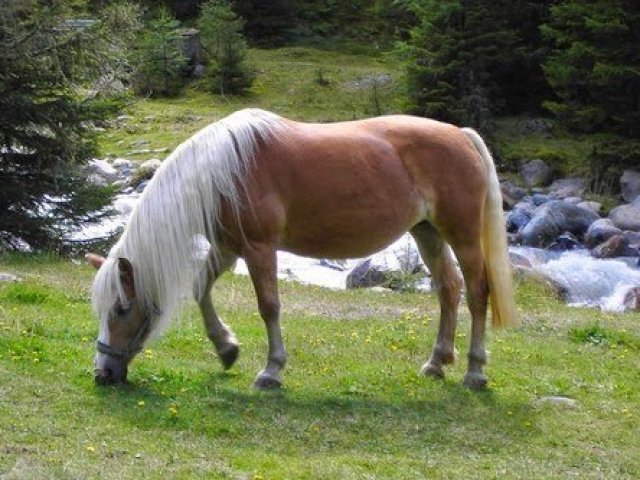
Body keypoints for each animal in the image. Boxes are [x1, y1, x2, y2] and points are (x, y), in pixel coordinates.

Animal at [85, 108, 516, 390]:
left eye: (121, 308)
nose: (102, 373)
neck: (223, 172)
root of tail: (462, 135)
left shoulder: (259, 249)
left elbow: (269, 306)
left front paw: (271, 371)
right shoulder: (228, 248)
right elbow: (199, 289)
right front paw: (226, 348)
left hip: (462, 236)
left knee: (477, 293)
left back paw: (475, 372)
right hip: (426, 233)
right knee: (449, 290)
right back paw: (436, 363)